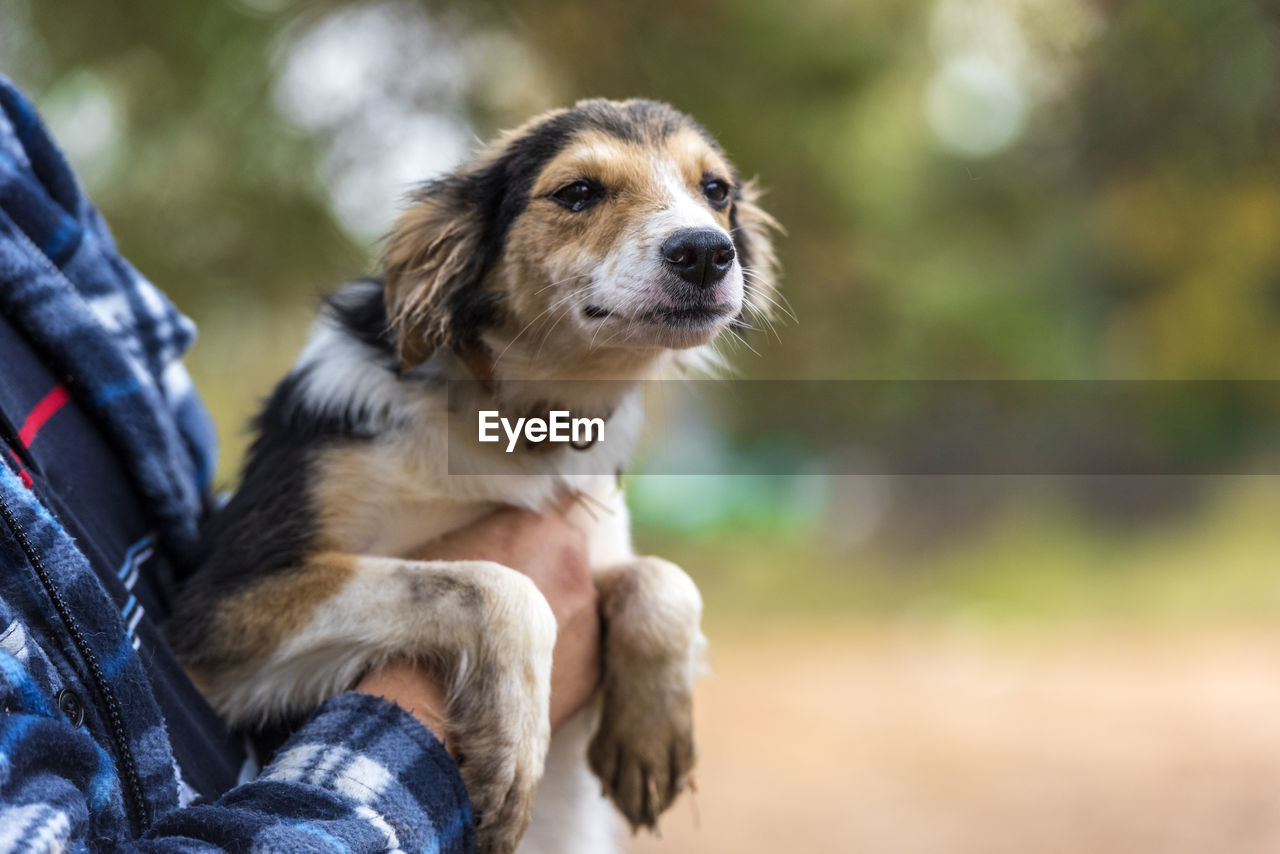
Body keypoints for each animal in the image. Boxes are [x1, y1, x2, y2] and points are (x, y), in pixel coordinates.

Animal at [170, 101, 778, 854]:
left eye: (715, 190)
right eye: (578, 193)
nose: (706, 252)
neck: (515, 424)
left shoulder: (598, 536)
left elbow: (665, 579)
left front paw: (651, 734)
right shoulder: (216, 614)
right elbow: (500, 585)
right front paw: (512, 750)